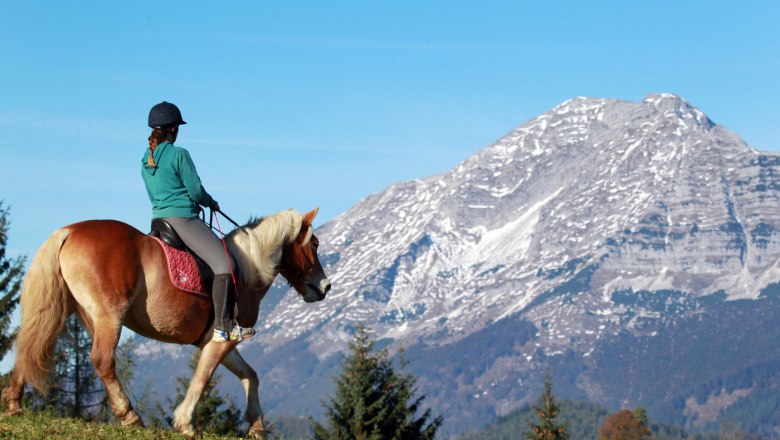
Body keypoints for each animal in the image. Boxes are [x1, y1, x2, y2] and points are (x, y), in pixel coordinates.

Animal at [1, 208, 330, 438]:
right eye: (314, 243)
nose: (325, 287)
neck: (248, 268)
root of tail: (68, 231)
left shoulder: (219, 339)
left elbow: (251, 375)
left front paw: (257, 426)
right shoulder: (223, 338)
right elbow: (203, 377)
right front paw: (184, 422)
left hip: (64, 310)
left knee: (30, 344)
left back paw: (14, 404)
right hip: (109, 316)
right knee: (102, 360)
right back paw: (129, 416)